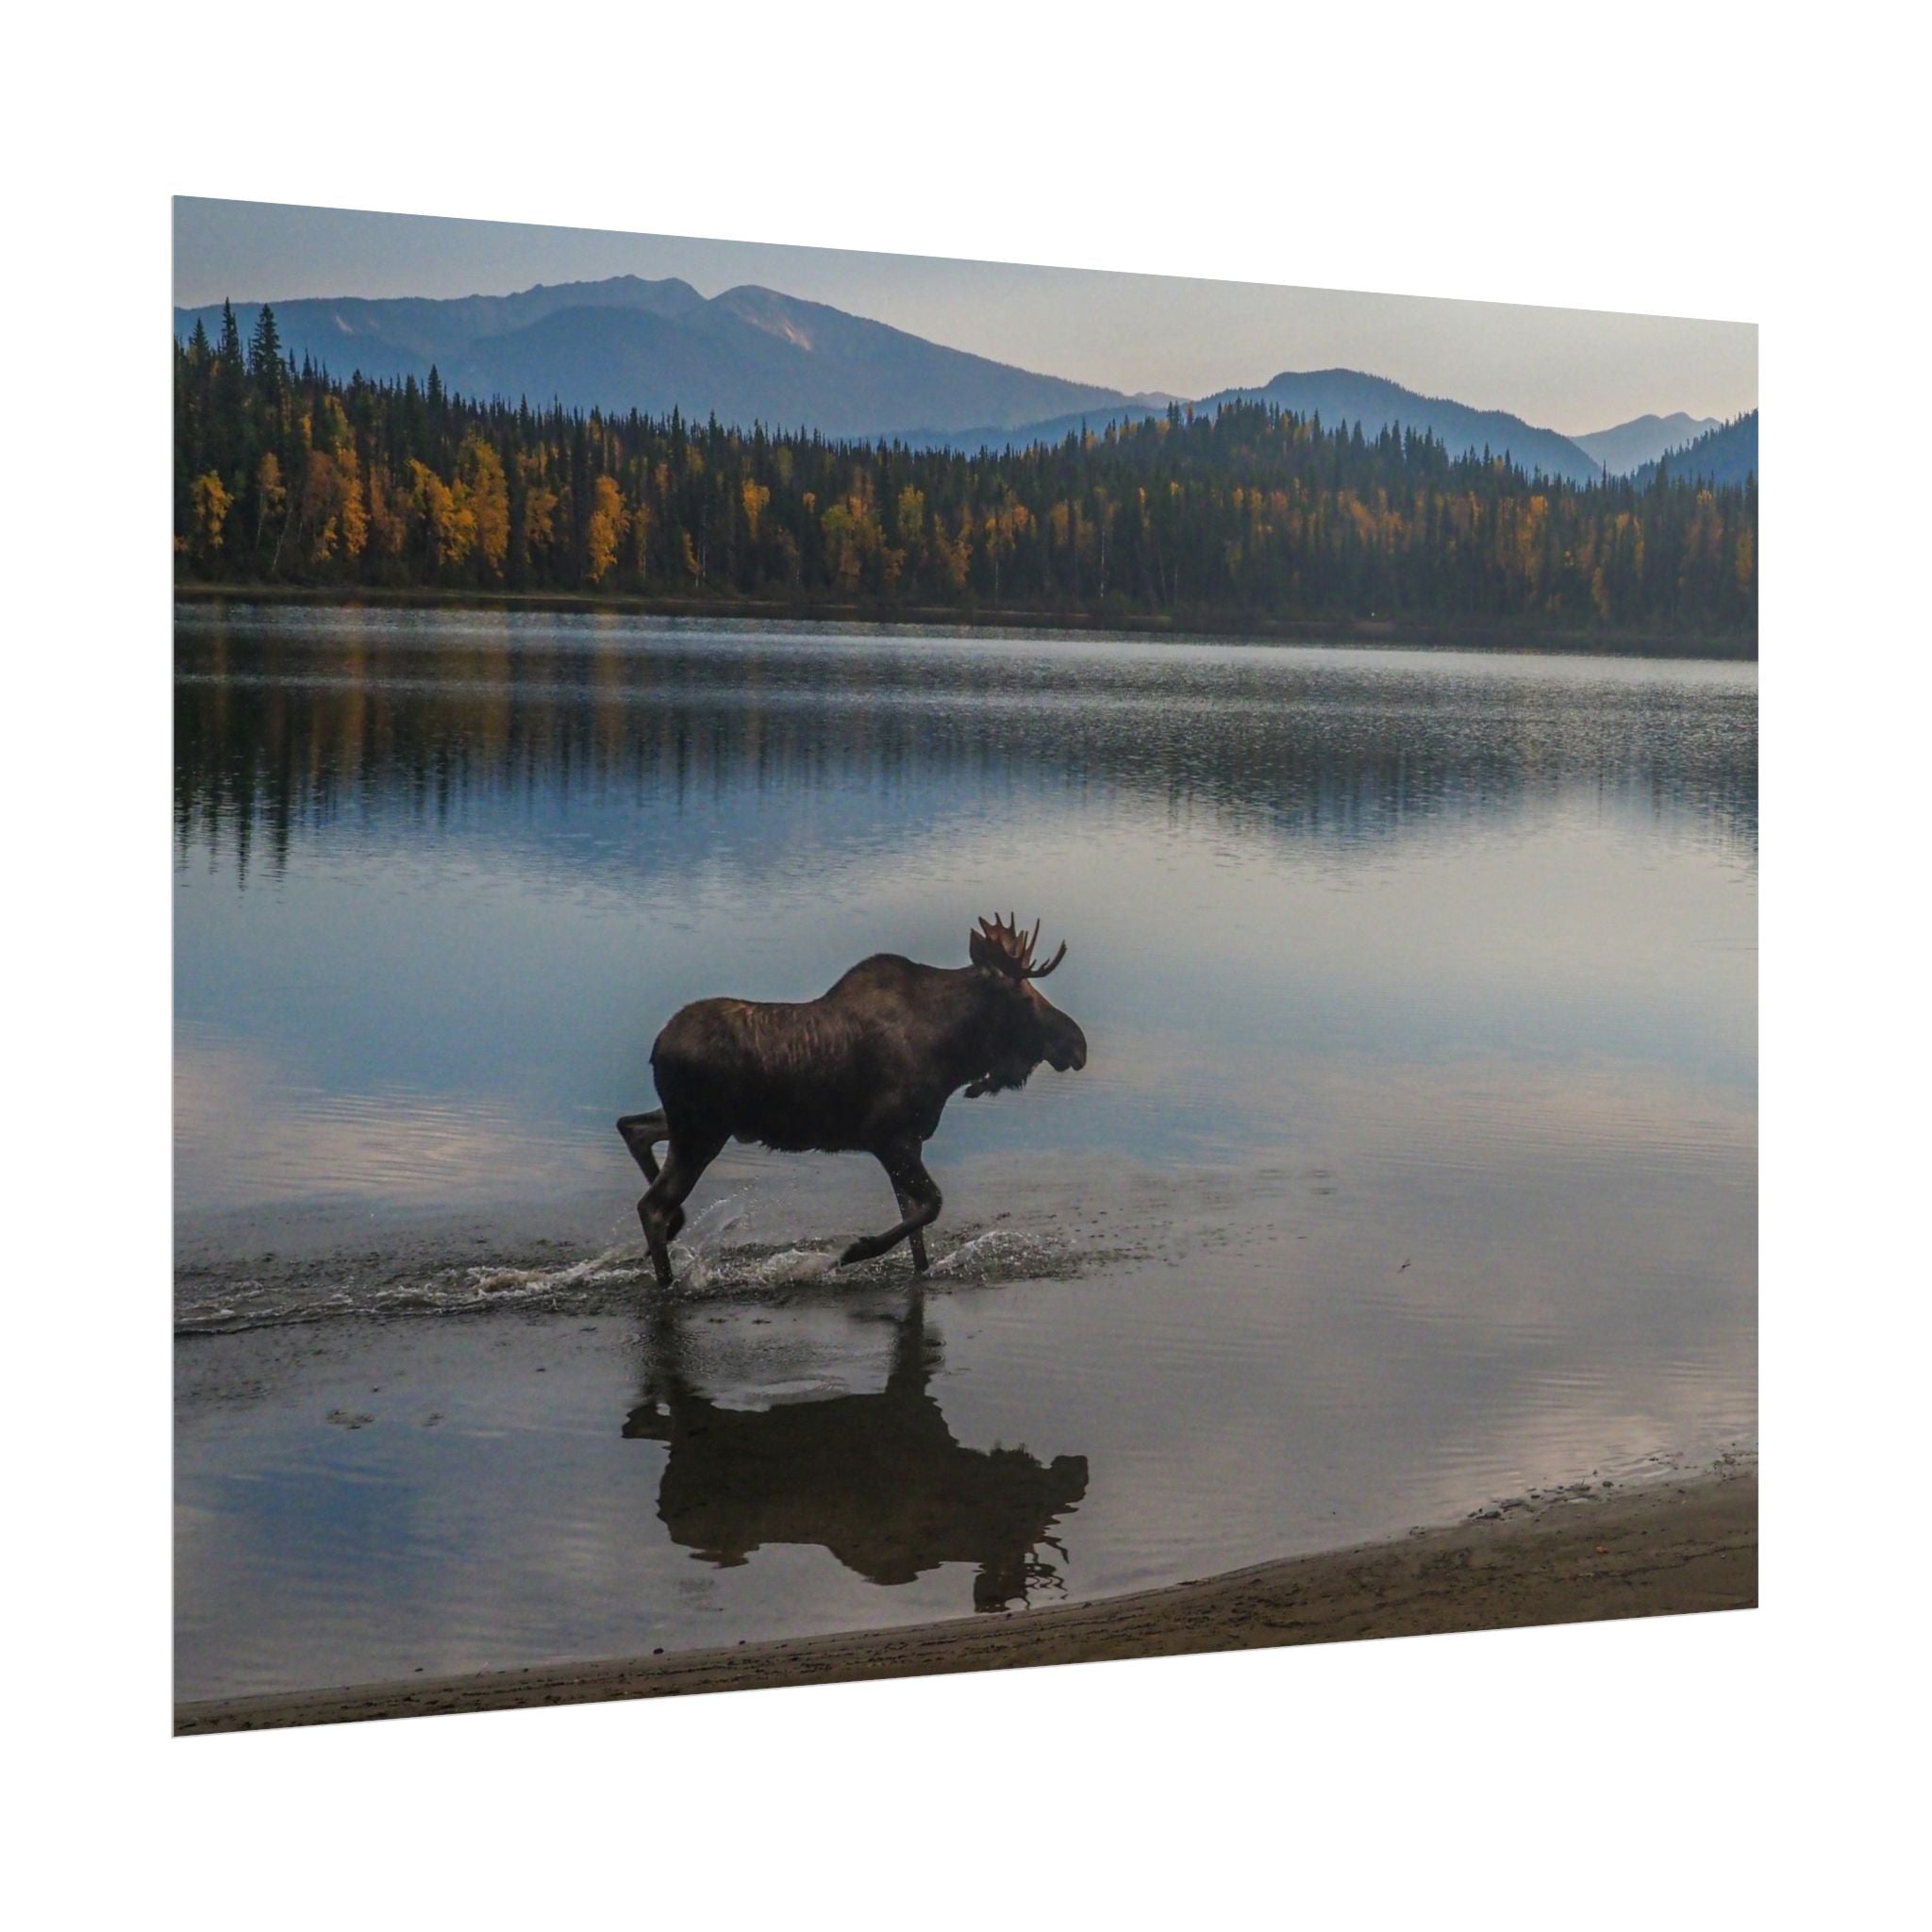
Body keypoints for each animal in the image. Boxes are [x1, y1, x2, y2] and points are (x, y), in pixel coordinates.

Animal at [616, 914, 1087, 1287]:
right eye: (1024, 997)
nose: (1078, 1044)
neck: (952, 1054)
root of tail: (656, 1048)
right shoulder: (887, 1136)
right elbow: (931, 1205)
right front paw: (853, 1251)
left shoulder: (909, 1142)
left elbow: (916, 1228)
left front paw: (915, 1269)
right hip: (701, 1132)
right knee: (651, 1204)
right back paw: (667, 1279)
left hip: (695, 1124)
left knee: (633, 1128)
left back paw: (675, 1228)